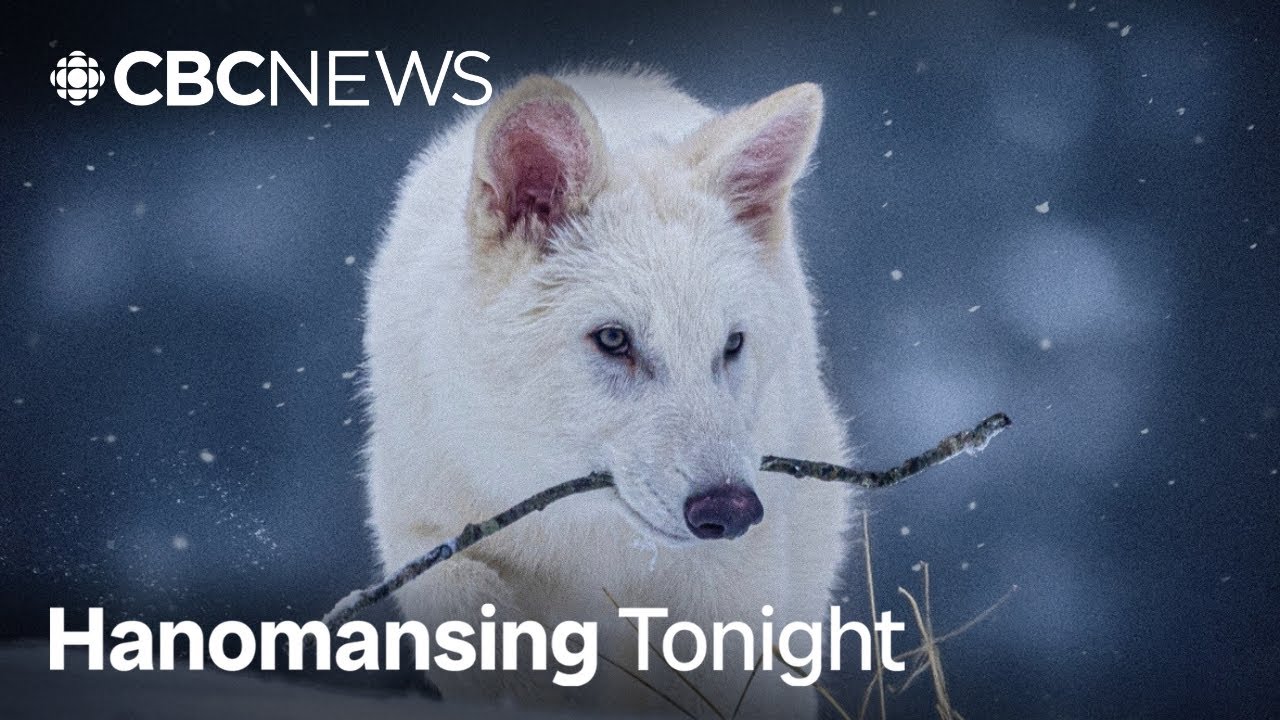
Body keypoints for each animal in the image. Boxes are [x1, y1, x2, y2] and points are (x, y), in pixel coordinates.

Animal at [363, 69, 854, 717]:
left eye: (731, 344)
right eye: (614, 339)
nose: (731, 511)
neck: (589, 535)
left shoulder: (722, 596)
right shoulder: (422, 530)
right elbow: (478, 618)